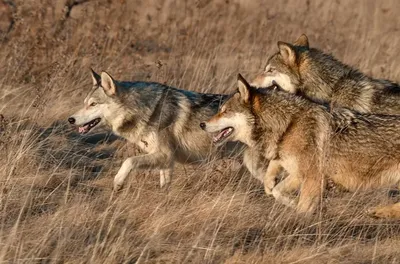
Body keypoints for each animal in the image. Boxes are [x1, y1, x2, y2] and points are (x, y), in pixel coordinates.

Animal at [70, 69, 268, 191]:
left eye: (93, 104)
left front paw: (118, 183)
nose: (70, 119)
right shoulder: (166, 162)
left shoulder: (165, 155)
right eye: (85, 103)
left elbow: (128, 161)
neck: (144, 110)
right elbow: (164, 185)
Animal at [202, 73, 400, 217]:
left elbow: (301, 205)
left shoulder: (313, 178)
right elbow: (274, 189)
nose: (202, 124)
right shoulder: (297, 172)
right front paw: (289, 201)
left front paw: (301, 218)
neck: (288, 125)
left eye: (224, 111)